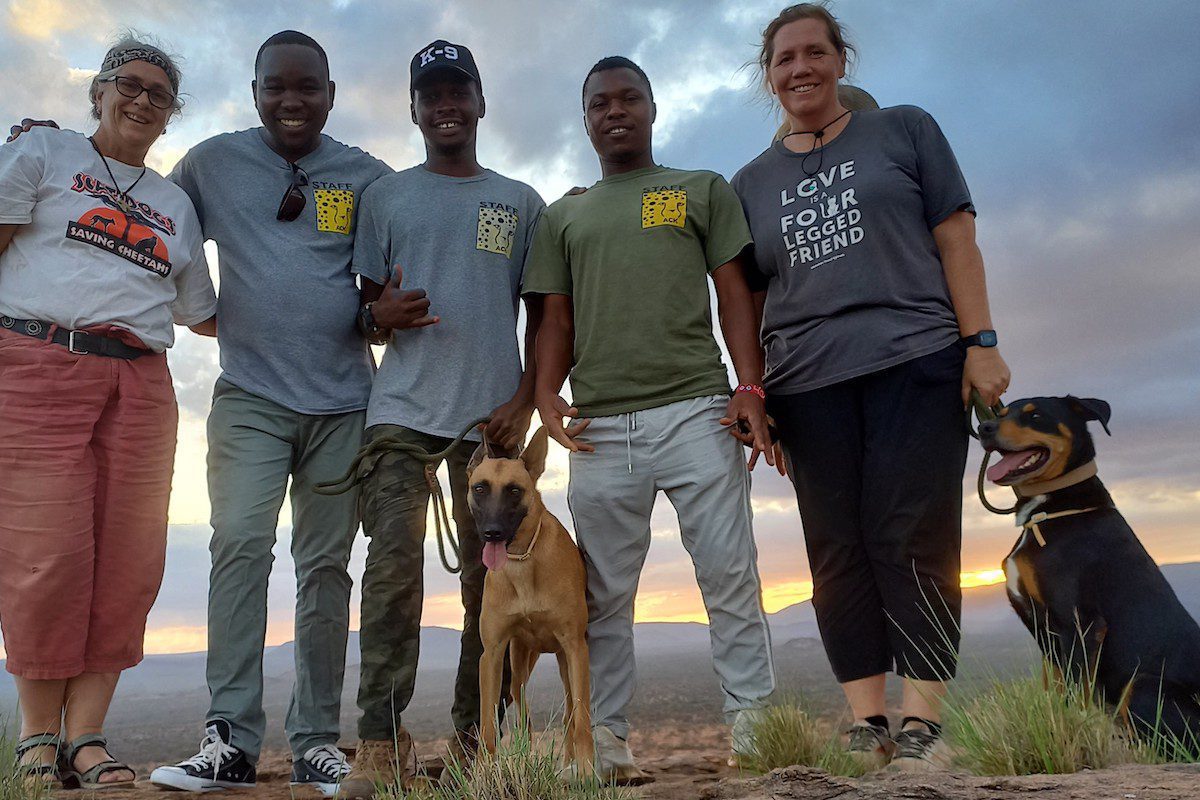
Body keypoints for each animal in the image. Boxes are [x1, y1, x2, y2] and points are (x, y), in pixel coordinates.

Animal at [470, 429, 597, 777]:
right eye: (479, 488)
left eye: (515, 490)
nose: (492, 533)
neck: (522, 564)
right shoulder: (492, 653)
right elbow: (488, 724)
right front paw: (483, 772)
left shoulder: (575, 647)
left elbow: (582, 717)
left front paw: (587, 772)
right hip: (519, 664)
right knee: (523, 713)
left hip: (566, 663)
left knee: (570, 715)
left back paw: (569, 766)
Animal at [979, 398, 1200, 748]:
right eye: (1000, 414)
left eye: (1035, 415)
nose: (983, 428)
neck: (1049, 511)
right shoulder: (1046, 632)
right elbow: (1055, 689)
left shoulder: (1079, 623)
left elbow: (1075, 694)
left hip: (1143, 686)